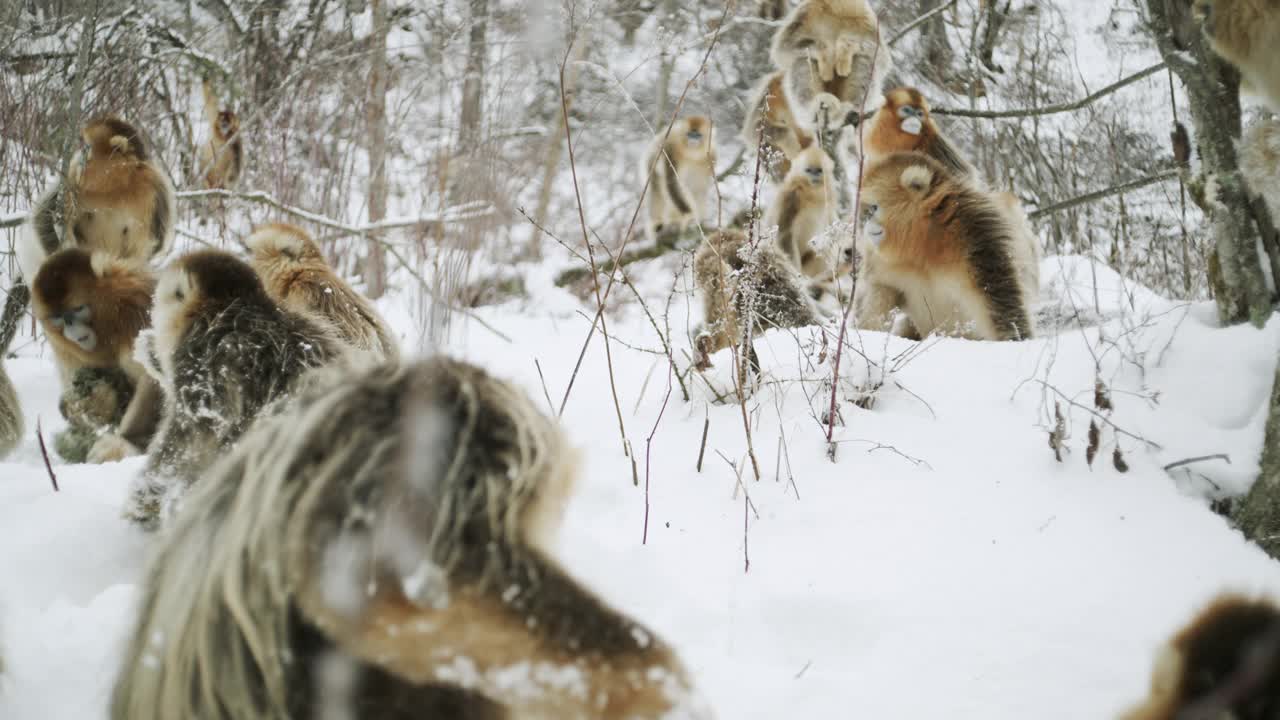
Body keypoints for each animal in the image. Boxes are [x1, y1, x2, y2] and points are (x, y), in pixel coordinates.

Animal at [19, 114, 175, 280]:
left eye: (87, 147)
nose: (77, 154)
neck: (113, 187)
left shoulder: (153, 191)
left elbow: (146, 244)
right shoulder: (70, 183)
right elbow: (45, 222)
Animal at [849, 150, 1039, 338]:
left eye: (874, 208)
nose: (863, 224)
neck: (922, 245)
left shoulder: (974, 241)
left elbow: (1001, 307)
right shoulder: (882, 265)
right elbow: (879, 293)